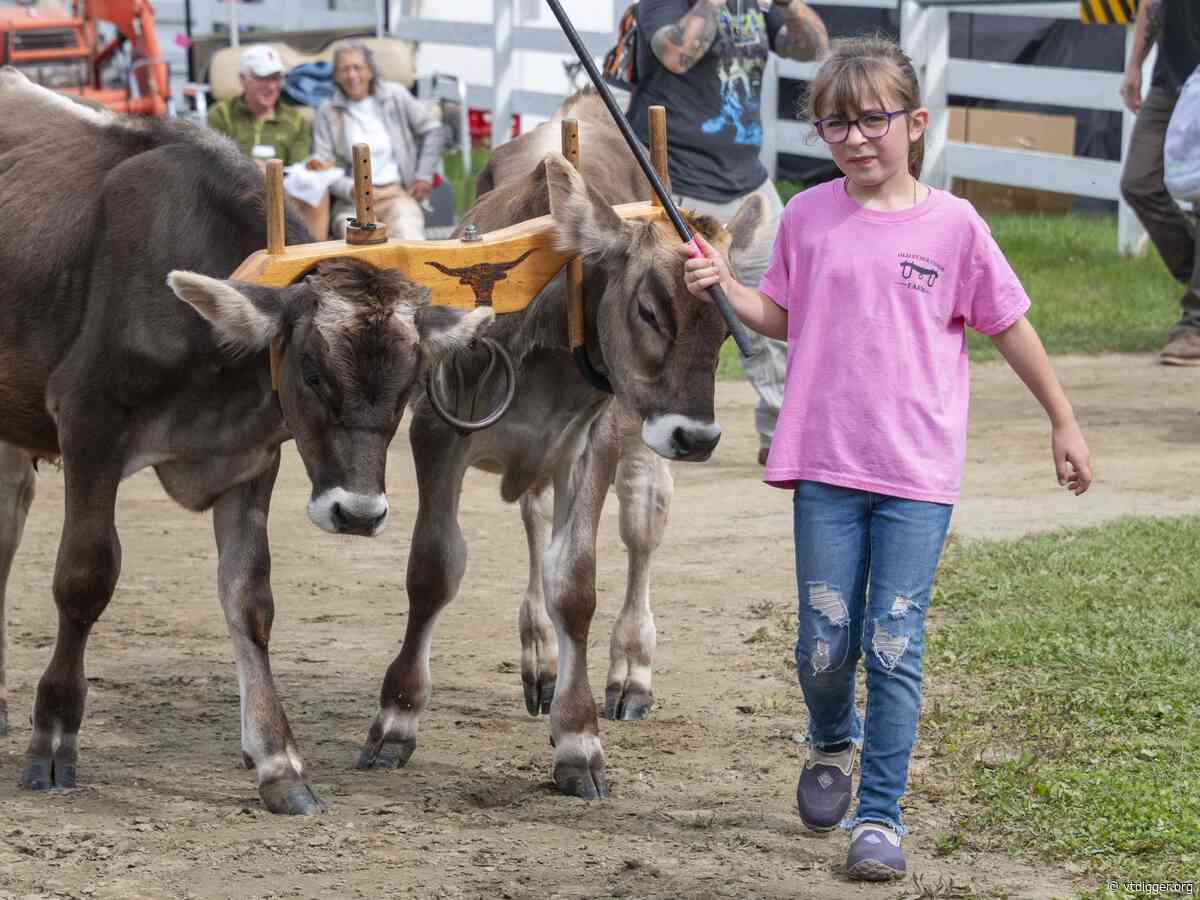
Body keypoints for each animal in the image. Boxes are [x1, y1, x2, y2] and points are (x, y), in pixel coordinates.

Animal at [0, 69, 493, 814]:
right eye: (312, 371)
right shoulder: (90, 429)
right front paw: (53, 738)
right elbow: (84, 579)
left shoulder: (250, 458)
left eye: (411, 384)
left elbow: (249, 598)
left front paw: (277, 761)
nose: (359, 513)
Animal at [355, 89, 766, 798]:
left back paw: (630, 669)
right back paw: (540, 659)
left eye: (723, 326)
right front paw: (396, 720)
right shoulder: (437, 430)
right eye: (649, 309)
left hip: (635, 449)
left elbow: (575, 583)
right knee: (534, 519)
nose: (697, 435)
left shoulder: (592, 445)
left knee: (640, 528)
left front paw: (578, 740)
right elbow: (433, 570)